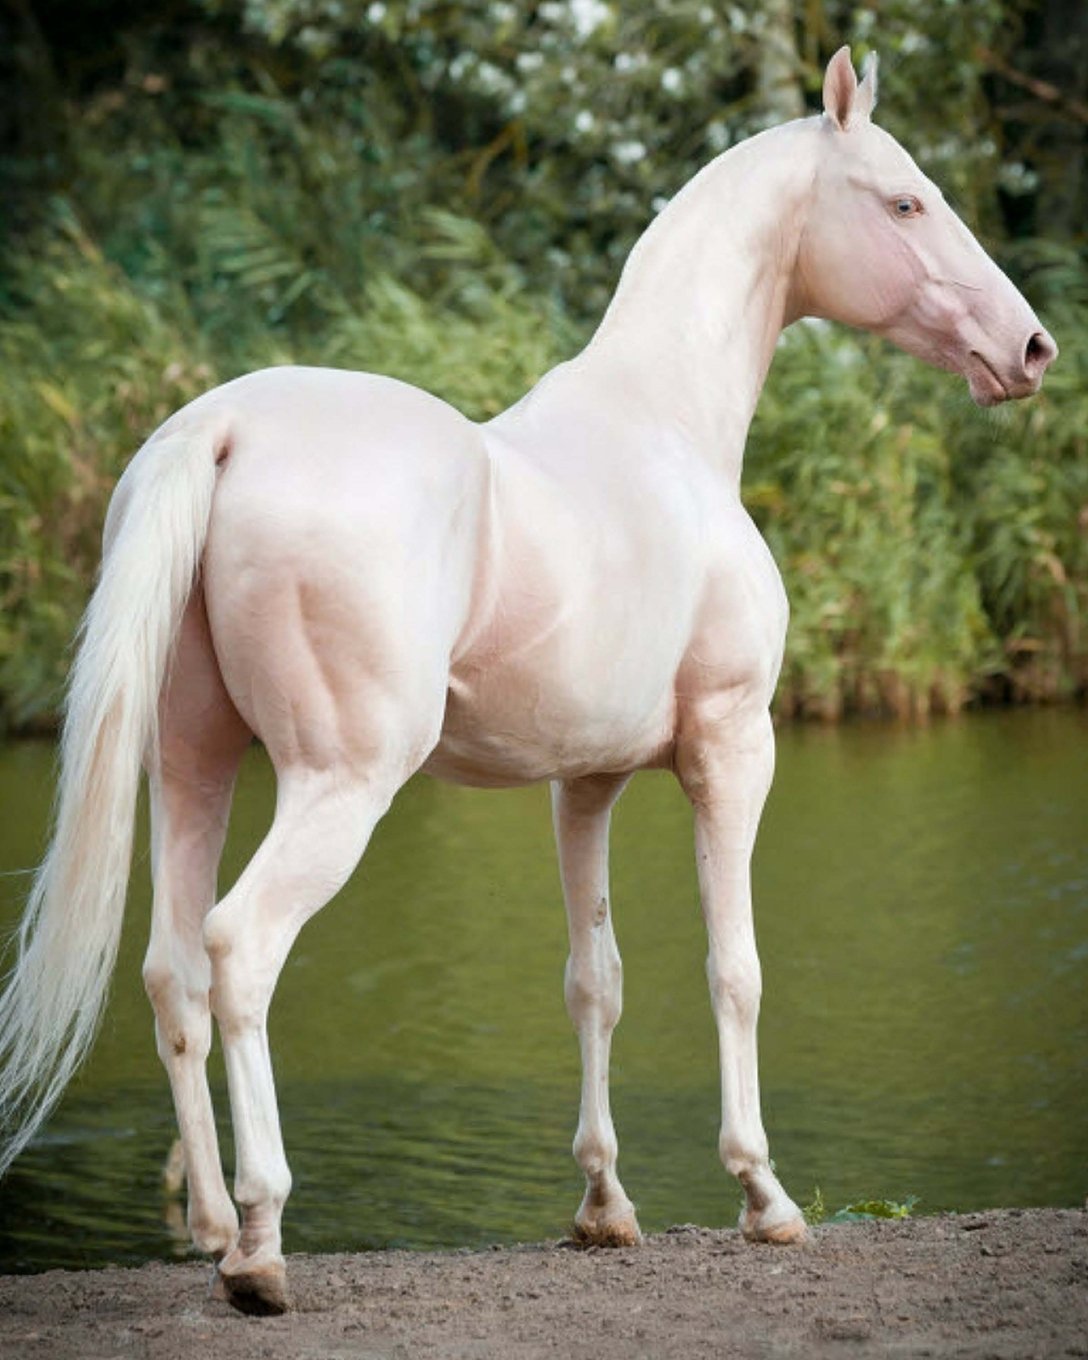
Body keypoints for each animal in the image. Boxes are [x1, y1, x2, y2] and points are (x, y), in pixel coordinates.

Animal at [0, 47, 1056, 1313]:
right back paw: (258, 1244)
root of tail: (224, 429)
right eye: (903, 201)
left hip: (196, 763)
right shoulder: (731, 747)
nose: (1029, 350)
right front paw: (763, 1196)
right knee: (238, 948)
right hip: (336, 783)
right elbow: (734, 969)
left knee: (171, 976)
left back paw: (208, 1225)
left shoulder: (582, 782)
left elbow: (592, 978)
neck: (663, 426)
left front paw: (603, 1207)